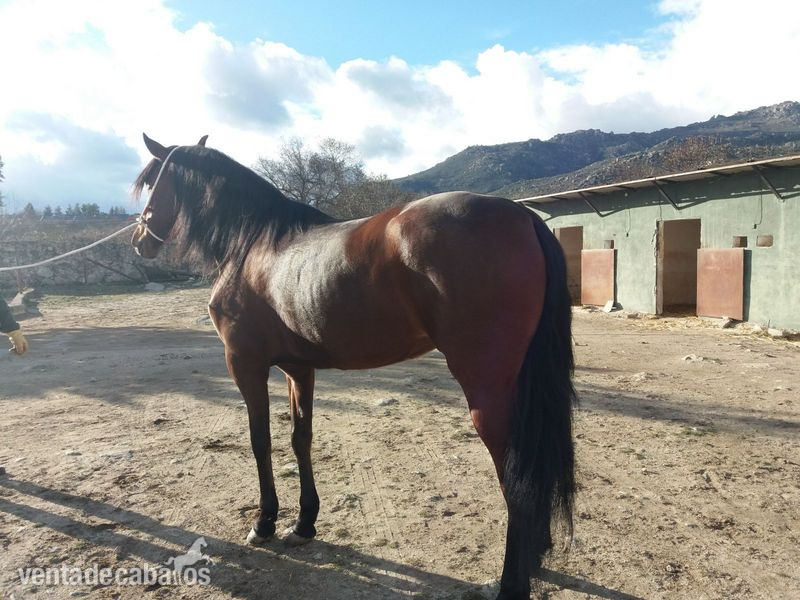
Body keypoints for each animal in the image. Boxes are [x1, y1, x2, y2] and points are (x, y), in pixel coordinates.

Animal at [131, 133, 577, 599]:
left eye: (151, 183)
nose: (138, 238)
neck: (253, 247)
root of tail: (524, 216)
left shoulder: (245, 364)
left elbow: (260, 441)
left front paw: (264, 522)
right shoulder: (297, 368)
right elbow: (300, 439)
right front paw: (303, 523)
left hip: (487, 392)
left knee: (516, 478)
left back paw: (512, 581)